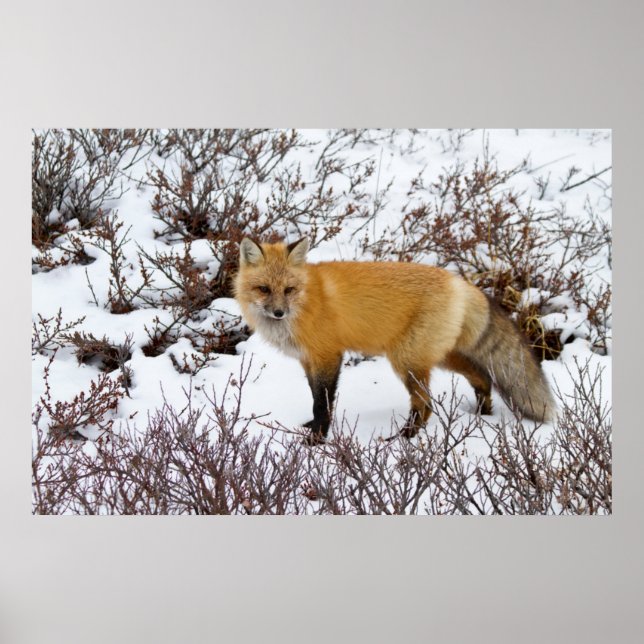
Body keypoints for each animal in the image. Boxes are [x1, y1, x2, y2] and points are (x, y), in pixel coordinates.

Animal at [234, 237, 556, 444]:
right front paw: (313, 429)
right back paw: (482, 413)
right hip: (437, 356)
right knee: (481, 376)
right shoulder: (308, 360)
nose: (278, 312)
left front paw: (316, 440)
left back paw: (405, 439)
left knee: (425, 404)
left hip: (406, 361)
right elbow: (315, 397)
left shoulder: (328, 355)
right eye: (264, 289)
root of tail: (460, 283)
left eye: (288, 290)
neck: (306, 302)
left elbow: (322, 403)